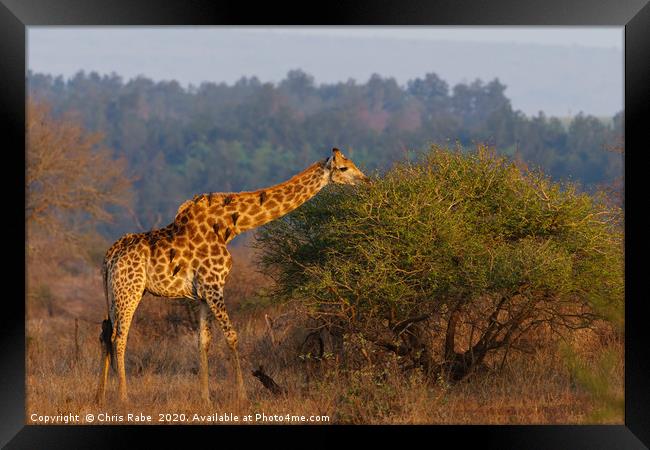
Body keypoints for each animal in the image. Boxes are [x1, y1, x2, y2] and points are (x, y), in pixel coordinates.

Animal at [94, 148, 368, 404]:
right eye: (343, 168)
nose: (365, 181)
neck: (230, 226)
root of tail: (108, 257)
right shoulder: (215, 285)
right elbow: (232, 336)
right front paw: (242, 396)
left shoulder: (203, 294)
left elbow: (203, 341)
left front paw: (205, 399)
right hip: (129, 290)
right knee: (120, 337)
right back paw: (123, 397)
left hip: (115, 293)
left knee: (106, 333)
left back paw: (100, 397)